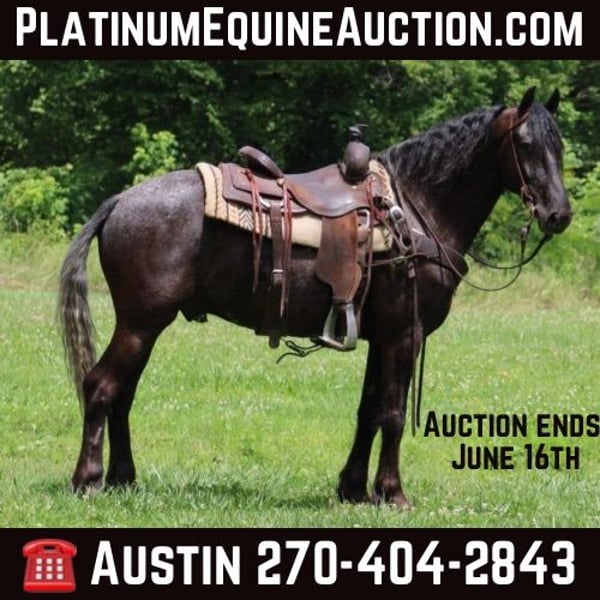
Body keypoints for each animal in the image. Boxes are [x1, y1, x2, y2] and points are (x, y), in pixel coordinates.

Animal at [58, 87, 572, 508]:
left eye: (560, 146)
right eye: (525, 145)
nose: (559, 214)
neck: (415, 208)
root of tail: (119, 202)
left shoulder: (381, 337)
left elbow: (369, 411)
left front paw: (354, 489)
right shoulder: (405, 334)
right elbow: (393, 414)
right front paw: (393, 493)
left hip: (143, 326)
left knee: (122, 392)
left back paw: (124, 479)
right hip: (140, 323)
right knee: (101, 386)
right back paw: (88, 479)